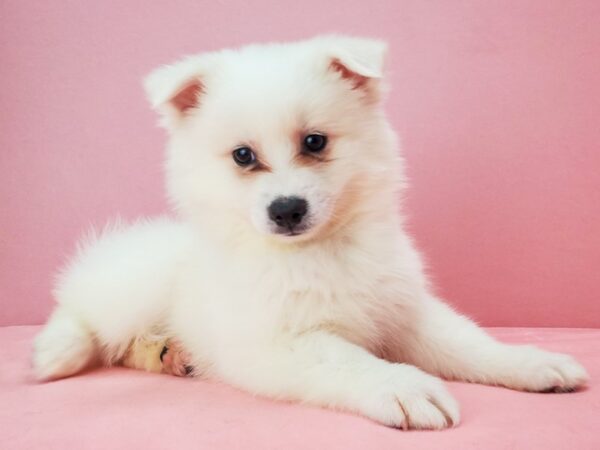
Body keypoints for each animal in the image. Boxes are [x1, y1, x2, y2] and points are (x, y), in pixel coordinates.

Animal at [31, 35, 584, 428]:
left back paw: (168, 354)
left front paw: (532, 363)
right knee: (80, 308)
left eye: (315, 142)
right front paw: (405, 387)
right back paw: (55, 352)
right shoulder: (279, 341)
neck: (320, 252)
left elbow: (468, 342)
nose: (286, 209)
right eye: (243, 156)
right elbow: (349, 360)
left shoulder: (403, 311)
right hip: (130, 288)